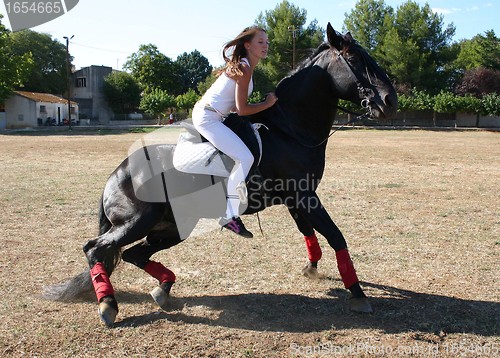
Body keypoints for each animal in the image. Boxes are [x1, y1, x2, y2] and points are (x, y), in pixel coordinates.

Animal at [46, 24, 398, 328]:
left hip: (172, 227)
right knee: (96, 249)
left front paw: (312, 269)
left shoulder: (297, 198)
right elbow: (336, 235)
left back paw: (163, 289)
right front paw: (358, 293)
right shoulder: (304, 196)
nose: (390, 100)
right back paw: (109, 305)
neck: (290, 128)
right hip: (138, 221)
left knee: (134, 253)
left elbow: (309, 232)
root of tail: (117, 174)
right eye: (355, 60)